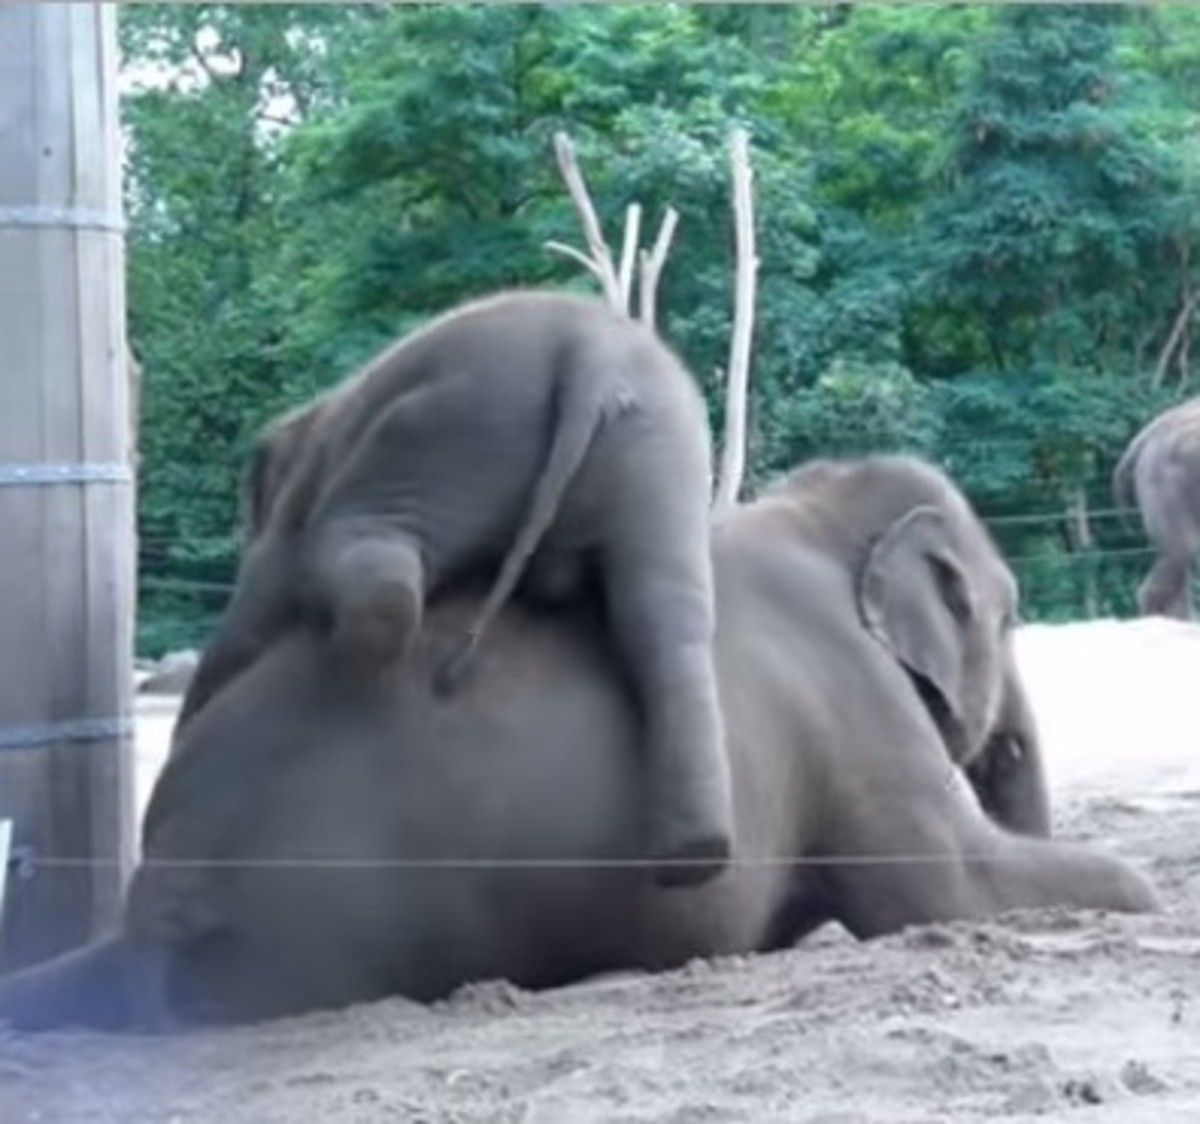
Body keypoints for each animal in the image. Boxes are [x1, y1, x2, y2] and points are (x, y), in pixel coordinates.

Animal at [0, 454, 1157, 1033]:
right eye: (1009, 615)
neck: (814, 510)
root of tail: (141, 915)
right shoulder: (853, 702)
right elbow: (944, 891)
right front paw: (1147, 892)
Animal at [175, 288, 733, 889]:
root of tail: (591, 351)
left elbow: (260, 599)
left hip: (453, 428)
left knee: (366, 565)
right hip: (659, 458)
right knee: (665, 620)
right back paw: (696, 853)